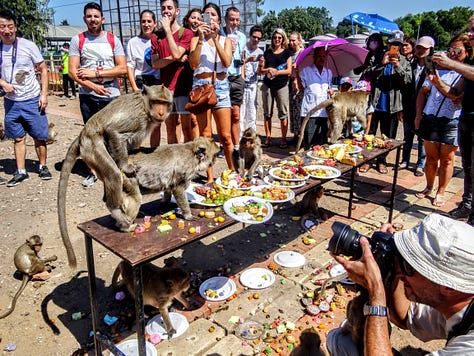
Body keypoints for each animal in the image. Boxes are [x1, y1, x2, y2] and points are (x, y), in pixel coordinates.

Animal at [56, 85, 173, 268]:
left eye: (165, 102)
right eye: (156, 102)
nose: (161, 112)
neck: (146, 107)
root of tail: (83, 134)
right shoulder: (137, 117)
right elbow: (114, 132)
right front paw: (125, 166)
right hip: (92, 148)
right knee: (113, 174)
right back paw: (117, 213)